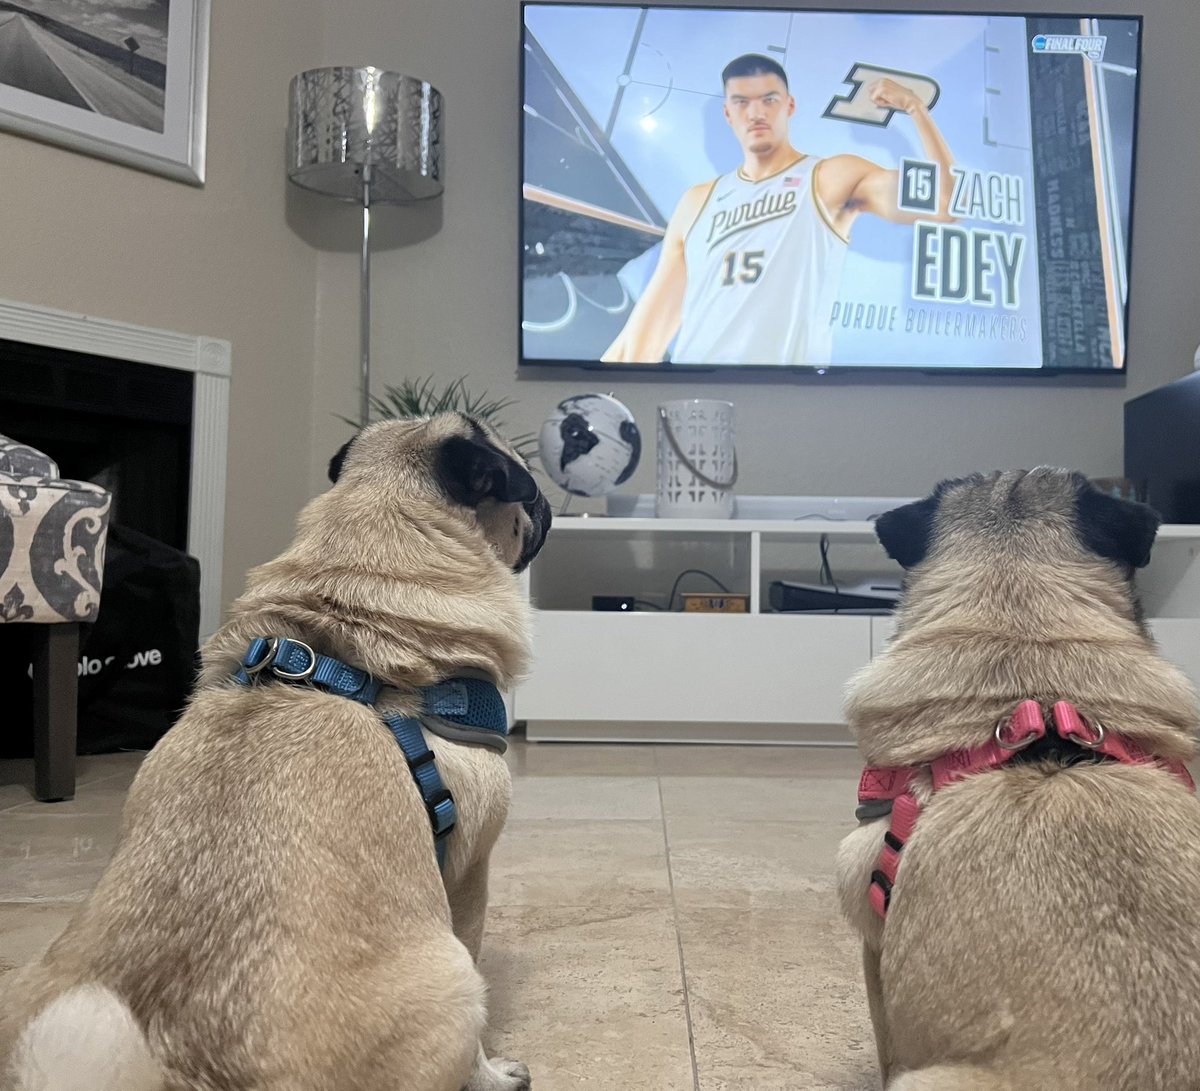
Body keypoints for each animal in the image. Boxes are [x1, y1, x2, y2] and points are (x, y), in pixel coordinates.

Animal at [0, 410, 549, 1089]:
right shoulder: (469, 872)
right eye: (525, 488)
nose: (548, 500)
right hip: (452, 979)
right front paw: (495, 1070)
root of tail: (186, 1068)